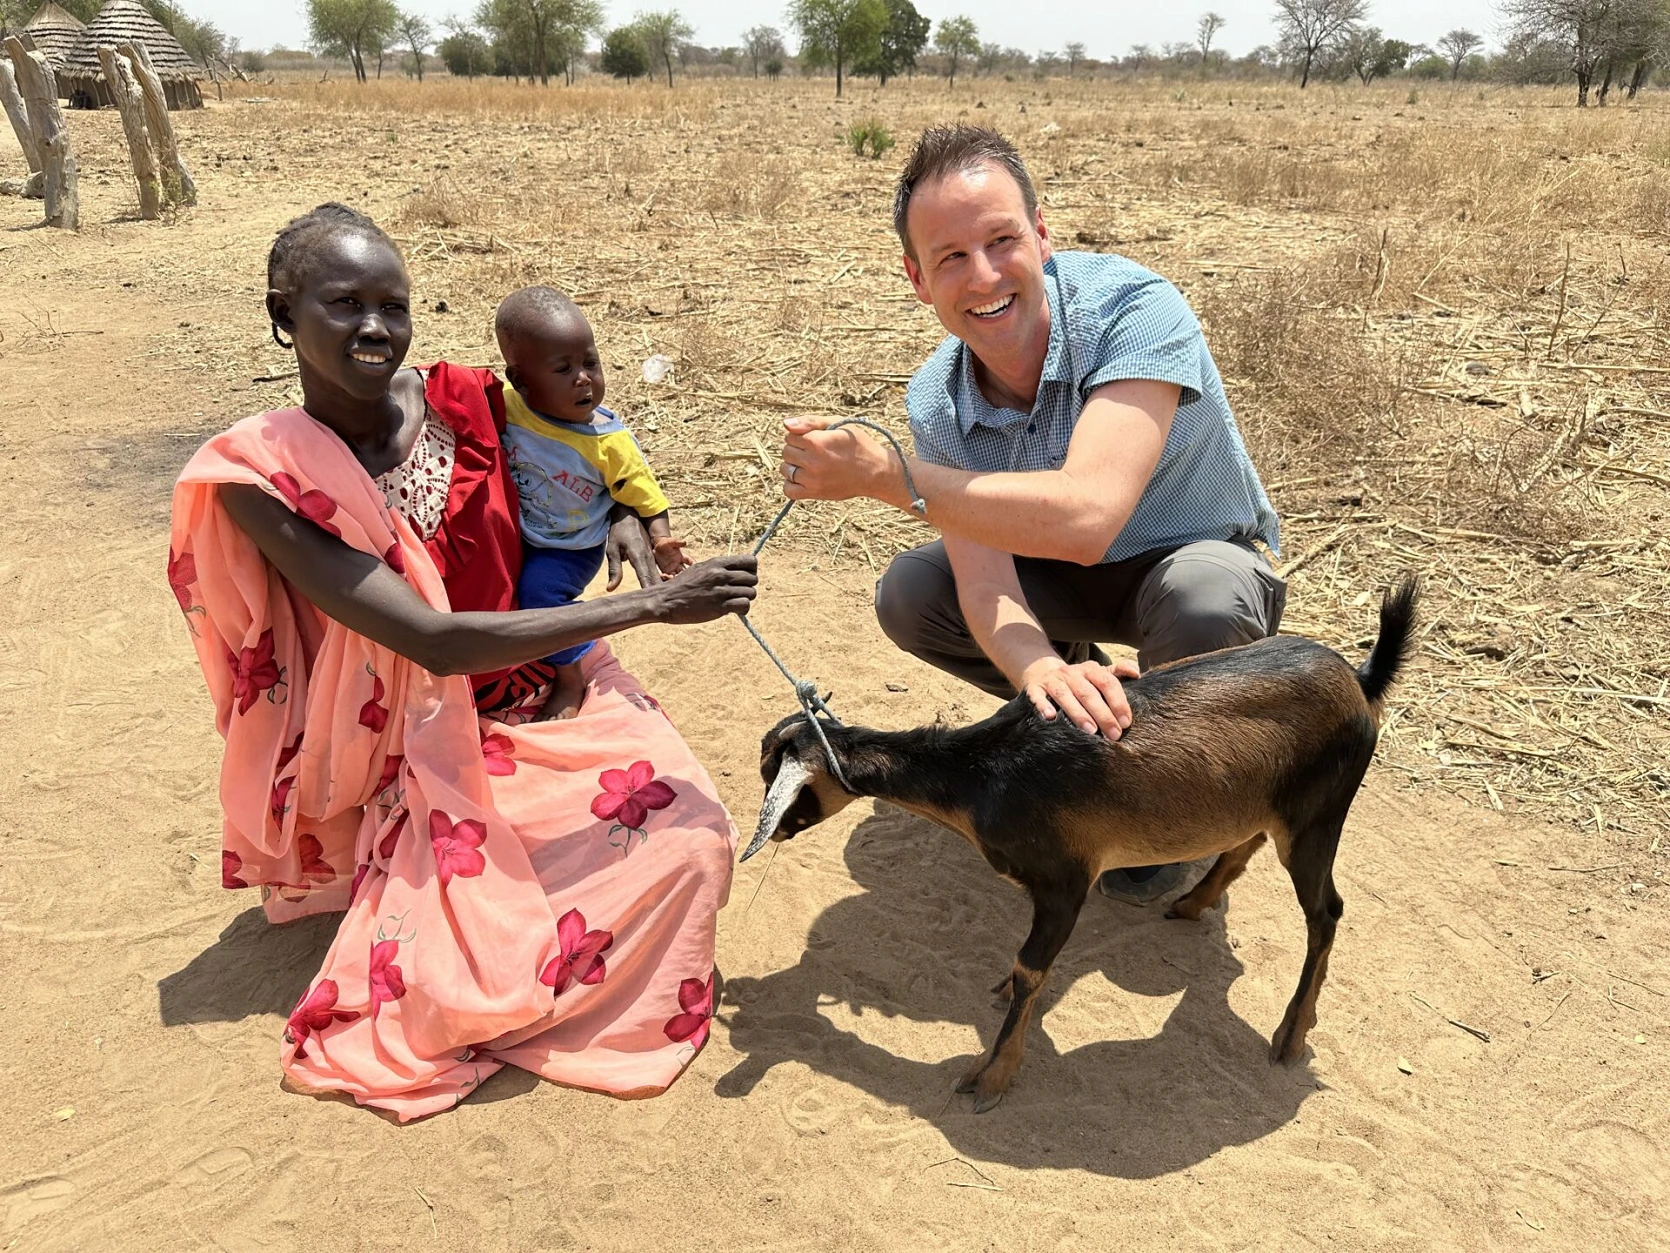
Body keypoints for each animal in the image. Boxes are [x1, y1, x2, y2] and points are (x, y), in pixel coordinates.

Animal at [751, 584, 1416, 1116]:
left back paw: (1291, 1034)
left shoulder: (1065, 880)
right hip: (1263, 801)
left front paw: (990, 1077)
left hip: (1318, 816)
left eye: (773, 776)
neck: (982, 775)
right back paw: (1191, 905)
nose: (771, 832)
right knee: (1243, 845)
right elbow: (1024, 971)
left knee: (1326, 911)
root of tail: (1358, 682)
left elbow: (1030, 967)